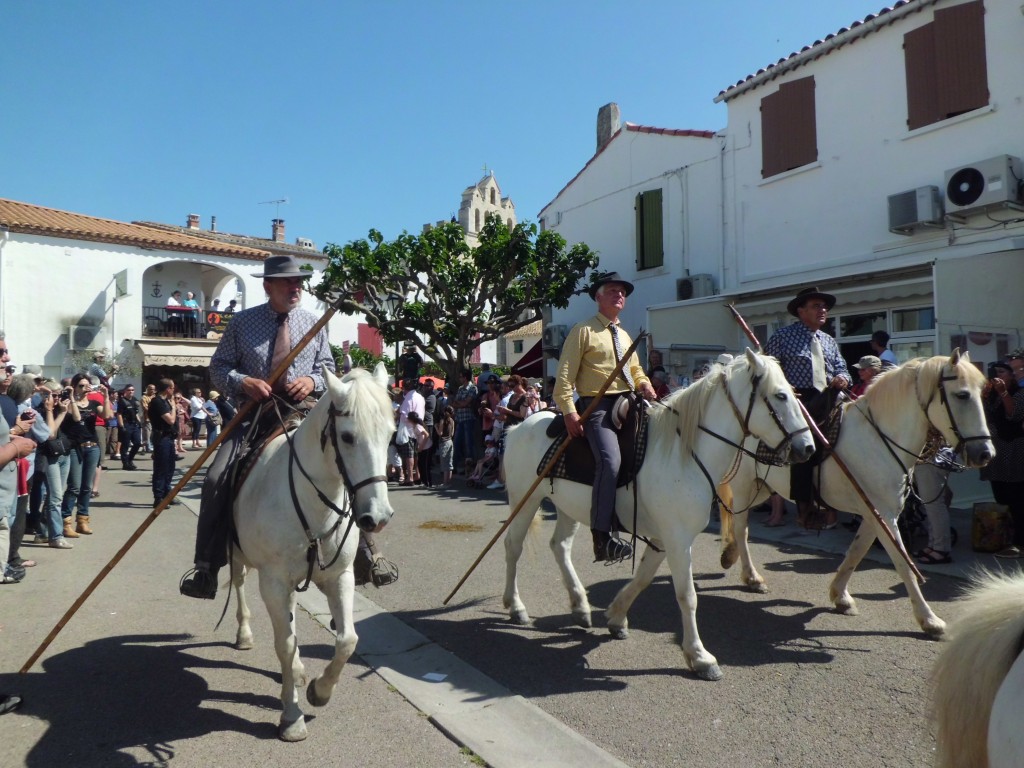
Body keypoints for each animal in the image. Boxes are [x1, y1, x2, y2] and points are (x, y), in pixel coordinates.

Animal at [230, 364, 393, 741]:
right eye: (347, 437)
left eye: (391, 434)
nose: (377, 517)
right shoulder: (274, 584)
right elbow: (285, 644)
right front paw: (292, 716)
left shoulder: (339, 577)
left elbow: (347, 639)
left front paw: (319, 691)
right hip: (236, 555)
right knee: (239, 582)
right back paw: (244, 634)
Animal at [499, 348, 811, 679]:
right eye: (780, 396)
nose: (808, 447)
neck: (684, 454)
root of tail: (519, 427)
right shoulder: (678, 540)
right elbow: (687, 596)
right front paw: (700, 657)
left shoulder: (663, 539)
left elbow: (643, 577)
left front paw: (616, 617)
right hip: (525, 500)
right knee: (513, 547)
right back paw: (516, 607)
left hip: (567, 507)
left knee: (559, 546)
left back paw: (580, 607)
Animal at [720, 354, 991, 638]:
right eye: (962, 395)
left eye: (982, 393)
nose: (985, 453)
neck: (879, 439)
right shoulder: (884, 517)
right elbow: (903, 564)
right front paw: (929, 619)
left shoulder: (876, 515)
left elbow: (856, 551)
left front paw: (840, 596)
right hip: (744, 488)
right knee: (741, 529)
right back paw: (752, 577)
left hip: (762, 489)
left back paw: (731, 557)